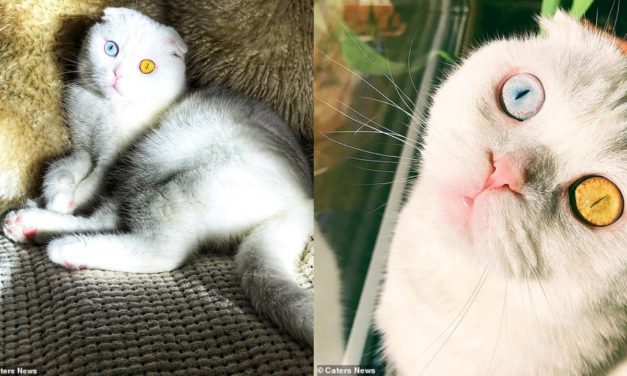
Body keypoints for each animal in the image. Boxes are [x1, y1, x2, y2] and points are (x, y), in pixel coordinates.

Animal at [1, 7, 312, 346]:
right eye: (111, 48)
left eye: (146, 67)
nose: (117, 75)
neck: (101, 109)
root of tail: (300, 206)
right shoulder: (82, 147)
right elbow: (65, 167)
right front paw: (58, 196)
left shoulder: (114, 158)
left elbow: (94, 180)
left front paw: (69, 199)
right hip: (144, 176)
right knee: (110, 220)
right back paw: (29, 225)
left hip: (166, 177)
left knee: (160, 250)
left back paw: (65, 247)